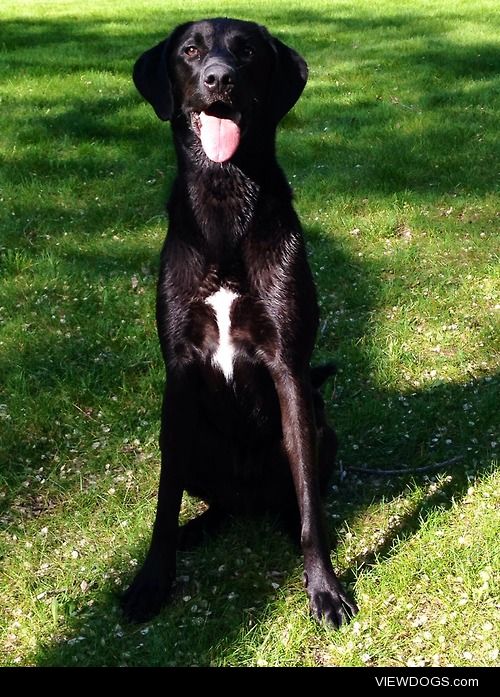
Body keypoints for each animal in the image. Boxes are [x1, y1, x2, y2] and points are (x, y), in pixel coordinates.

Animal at [122, 17, 358, 624]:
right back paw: (198, 528)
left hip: (321, 428)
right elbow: (164, 500)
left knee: (297, 496)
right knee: (214, 502)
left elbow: (310, 506)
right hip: (188, 442)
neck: (225, 197)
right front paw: (152, 580)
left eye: (247, 52)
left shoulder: (289, 367)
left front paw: (325, 588)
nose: (218, 79)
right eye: (190, 50)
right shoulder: (179, 371)